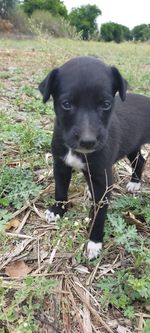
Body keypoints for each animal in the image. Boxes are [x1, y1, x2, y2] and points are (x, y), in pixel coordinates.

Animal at [39, 56, 150, 260]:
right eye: (66, 104)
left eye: (106, 104)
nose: (88, 141)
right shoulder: (61, 164)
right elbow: (60, 189)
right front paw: (58, 210)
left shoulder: (102, 177)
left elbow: (100, 212)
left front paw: (94, 242)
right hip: (131, 144)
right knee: (140, 160)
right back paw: (134, 182)